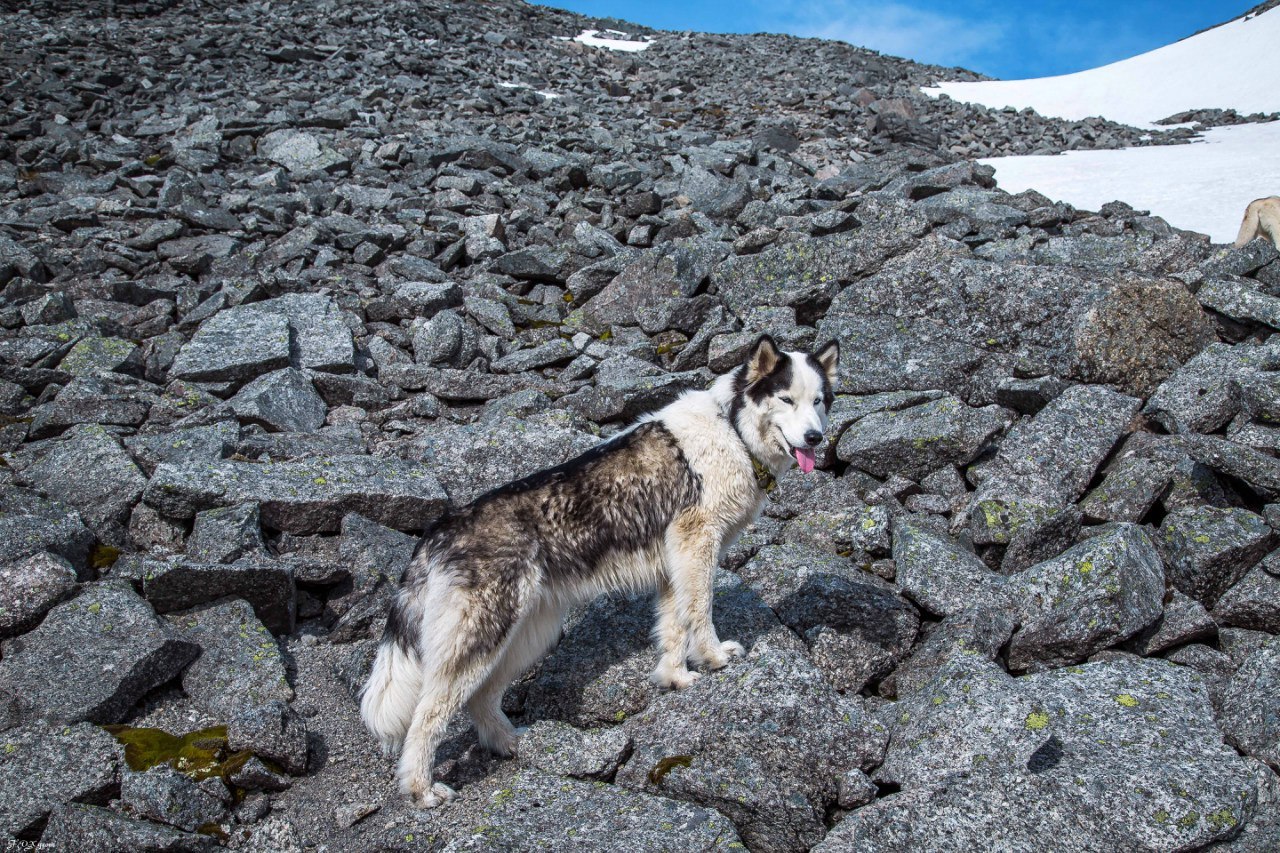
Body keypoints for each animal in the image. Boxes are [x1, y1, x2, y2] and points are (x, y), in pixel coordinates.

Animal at [360, 333, 839, 804]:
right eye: (785, 398)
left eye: (818, 400)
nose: (815, 438)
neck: (732, 429)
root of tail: (439, 532)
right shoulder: (698, 546)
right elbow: (700, 612)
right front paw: (714, 657)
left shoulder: (676, 566)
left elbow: (673, 627)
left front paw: (676, 677)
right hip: (480, 636)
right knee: (428, 715)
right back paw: (422, 788)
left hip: (529, 634)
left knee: (479, 700)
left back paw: (510, 742)